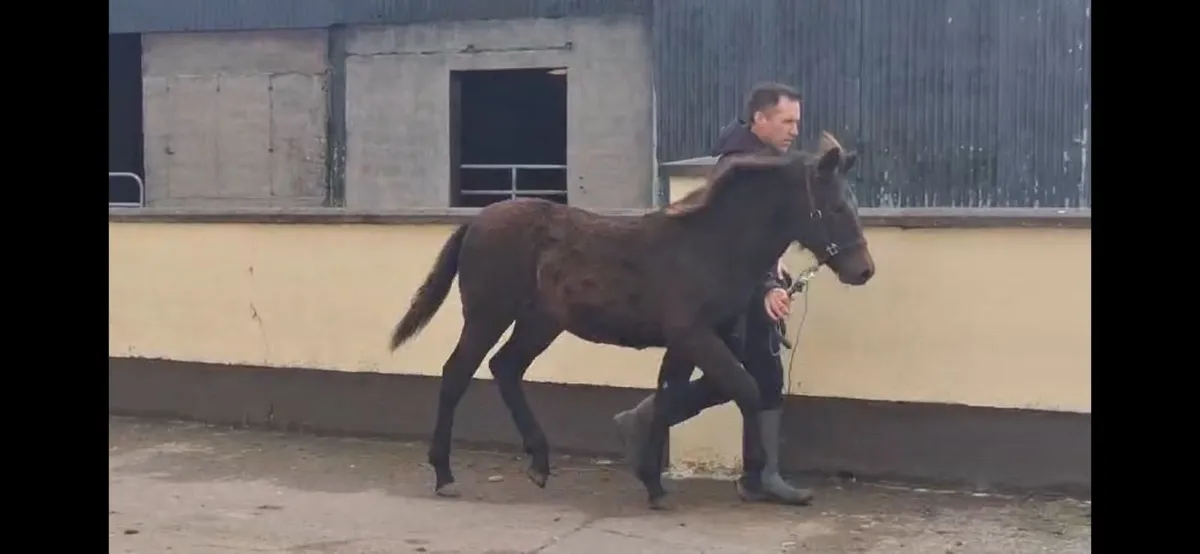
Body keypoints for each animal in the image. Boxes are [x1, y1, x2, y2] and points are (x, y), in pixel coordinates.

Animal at [388, 131, 875, 509]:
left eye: (854, 204)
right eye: (835, 207)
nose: (864, 270)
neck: (708, 245)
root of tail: (475, 222)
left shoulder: (687, 342)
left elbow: (669, 395)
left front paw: (652, 481)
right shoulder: (694, 335)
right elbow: (747, 388)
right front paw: (749, 475)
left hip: (540, 323)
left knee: (505, 367)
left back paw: (540, 464)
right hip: (487, 315)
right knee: (457, 373)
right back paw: (445, 475)